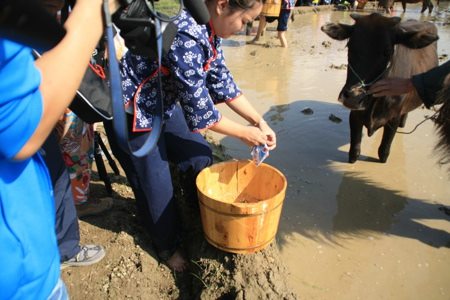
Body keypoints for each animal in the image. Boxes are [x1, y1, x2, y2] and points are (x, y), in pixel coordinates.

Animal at [322, 13, 438, 164]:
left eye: (387, 51)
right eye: (350, 45)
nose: (354, 97)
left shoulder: (393, 118)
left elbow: (383, 152)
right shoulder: (355, 115)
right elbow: (354, 152)